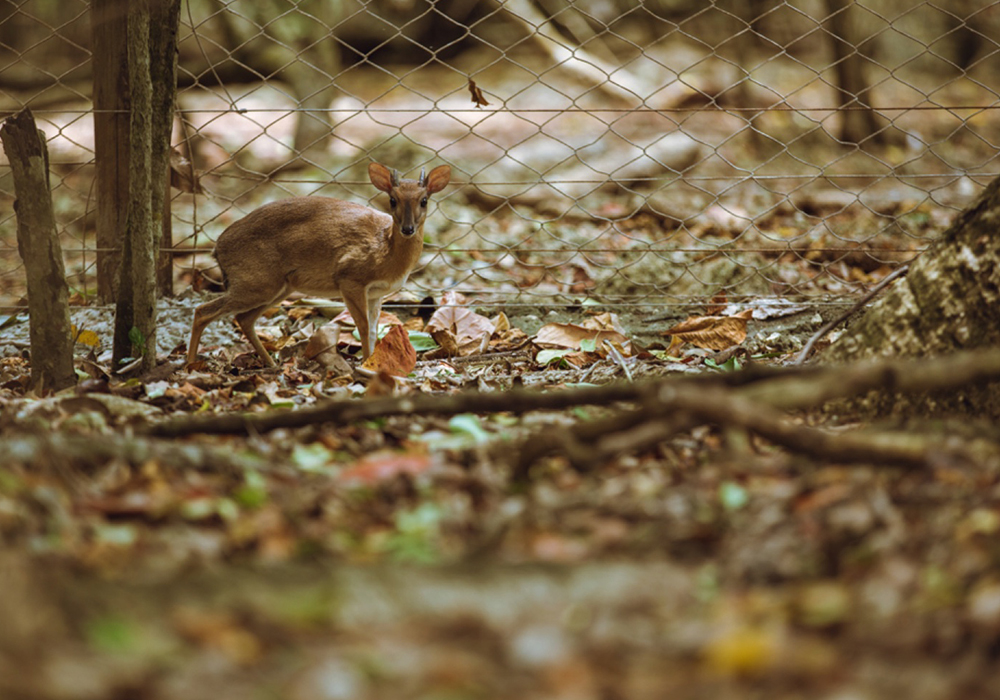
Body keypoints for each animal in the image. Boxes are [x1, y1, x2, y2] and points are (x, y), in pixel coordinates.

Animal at [188, 163, 454, 366]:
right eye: (392, 200)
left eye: (424, 200)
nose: (408, 229)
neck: (386, 253)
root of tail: (217, 249)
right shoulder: (350, 278)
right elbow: (363, 326)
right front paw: (366, 364)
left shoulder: (377, 294)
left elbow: (373, 328)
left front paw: (372, 362)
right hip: (255, 283)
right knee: (203, 310)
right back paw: (190, 364)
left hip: (277, 287)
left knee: (243, 319)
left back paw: (271, 364)